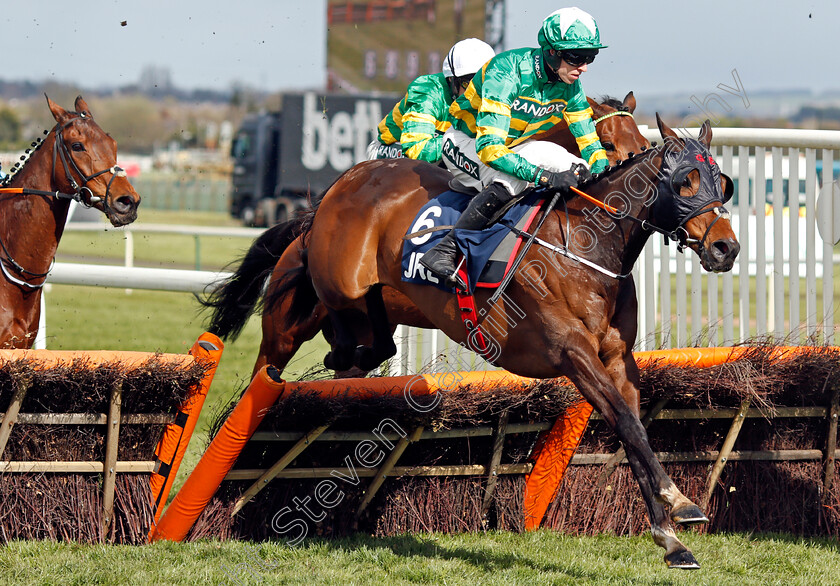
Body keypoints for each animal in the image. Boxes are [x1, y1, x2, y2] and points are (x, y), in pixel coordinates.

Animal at [203, 91, 648, 374]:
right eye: (607, 142)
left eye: (641, 139)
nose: (633, 186)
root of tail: (307, 228)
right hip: (284, 332)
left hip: (361, 321)